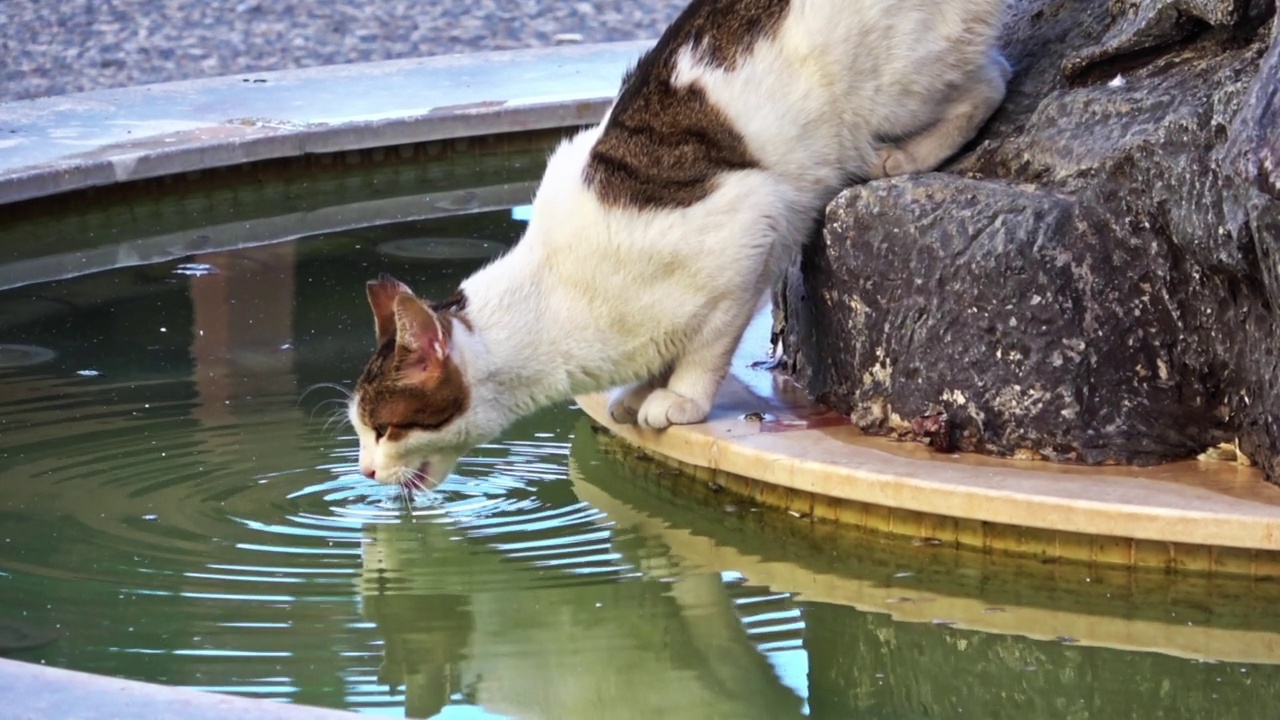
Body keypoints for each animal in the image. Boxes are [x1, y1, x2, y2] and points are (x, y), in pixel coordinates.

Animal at [348, 0, 1008, 486]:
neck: (553, 297)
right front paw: (641, 387)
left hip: (895, 85)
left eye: (384, 429)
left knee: (992, 80)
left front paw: (678, 397)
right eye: (360, 430)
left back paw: (905, 157)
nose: (365, 471)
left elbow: (707, 346)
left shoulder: (749, 229)